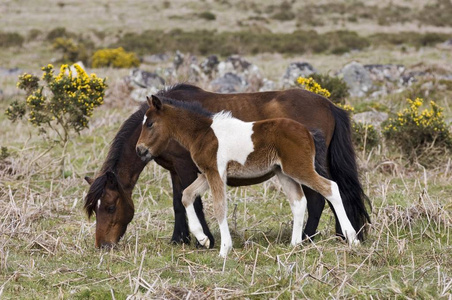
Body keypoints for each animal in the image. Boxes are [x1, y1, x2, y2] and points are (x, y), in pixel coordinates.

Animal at [85, 84, 370, 248]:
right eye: (95, 209)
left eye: (110, 206)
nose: (103, 245)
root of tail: (330, 105)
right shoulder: (176, 170)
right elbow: (180, 201)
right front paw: (180, 239)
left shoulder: (187, 168)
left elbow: (193, 203)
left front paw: (205, 239)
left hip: (304, 167)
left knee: (323, 196)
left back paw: (316, 237)